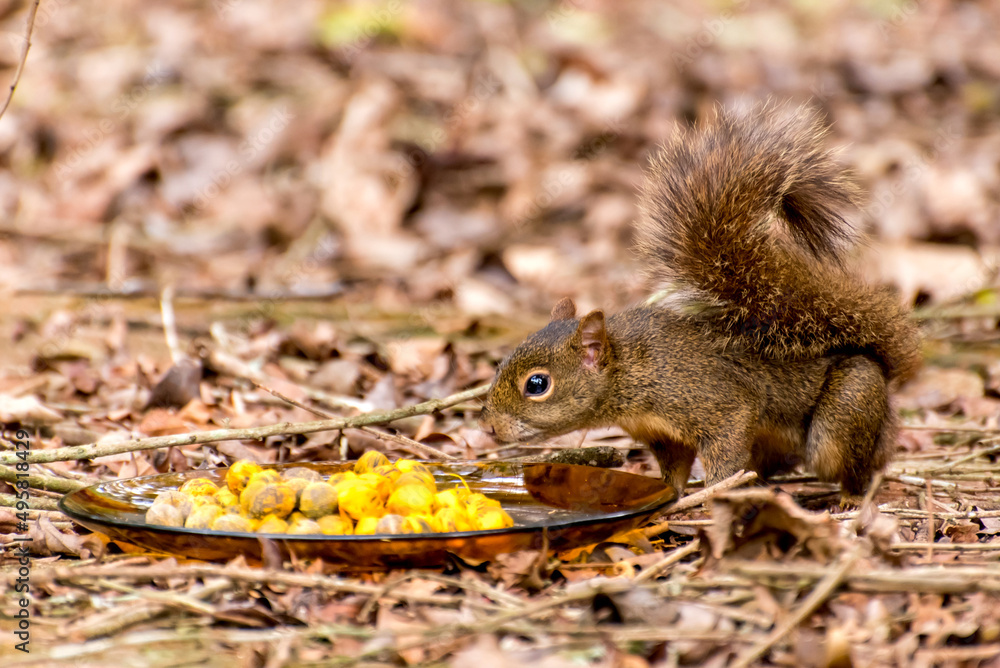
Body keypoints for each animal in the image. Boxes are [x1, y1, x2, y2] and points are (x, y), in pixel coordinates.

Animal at [479, 104, 921, 501]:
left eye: (537, 384)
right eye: (498, 364)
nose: (489, 428)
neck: (632, 368)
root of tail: (886, 377)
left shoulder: (714, 402)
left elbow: (726, 450)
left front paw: (712, 494)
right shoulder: (662, 434)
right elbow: (674, 467)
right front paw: (672, 495)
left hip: (847, 409)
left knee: (856, 466)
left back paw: (850, 498)